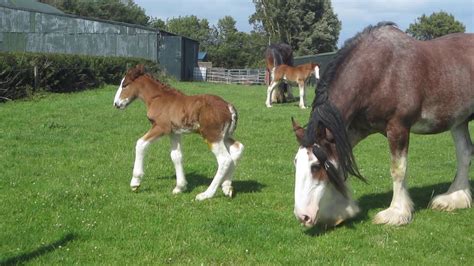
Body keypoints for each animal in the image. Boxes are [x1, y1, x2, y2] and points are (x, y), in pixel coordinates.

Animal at [112, 65, 244, 202]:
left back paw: (206, 194)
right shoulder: (174, 132)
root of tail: (228, 107)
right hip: (224, 136)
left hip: (211, 136)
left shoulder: (161, 127)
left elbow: (140, 144)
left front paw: (135, 182)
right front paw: (180, 187)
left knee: (224, 159)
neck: (158, 98)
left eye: (125, 85)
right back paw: (227, 187)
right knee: (237, 148)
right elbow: (176, 156)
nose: (116, 104)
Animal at [290, 21, 472, 228]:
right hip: (459, 120)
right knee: (465, 153)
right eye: (296, 162)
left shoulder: (398, 128)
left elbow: (398, 169)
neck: (380, 71)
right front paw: (339, 211)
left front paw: (397, 212)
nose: (302, 216)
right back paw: (455, 197)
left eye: (315, 167)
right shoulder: (355, 128)